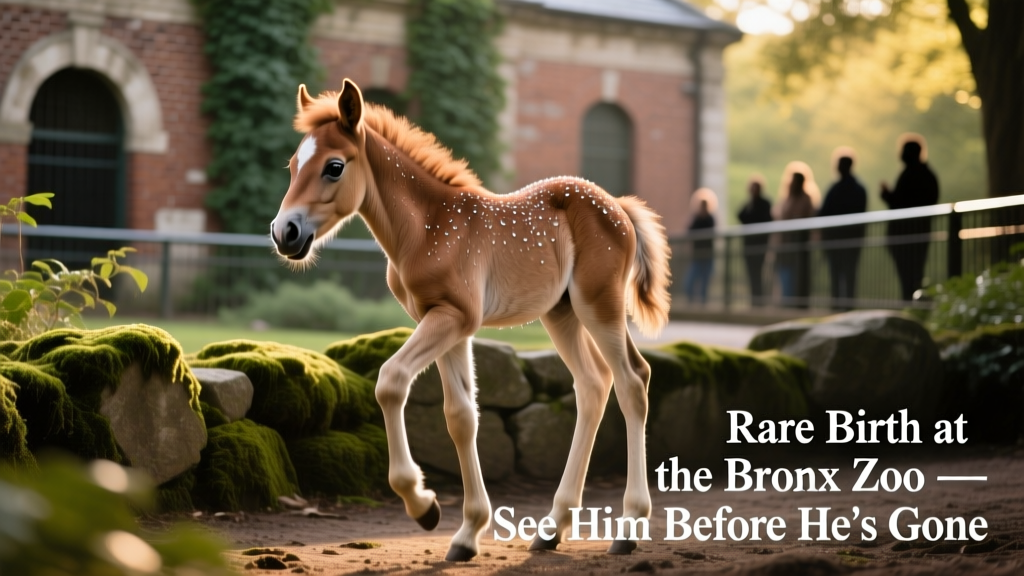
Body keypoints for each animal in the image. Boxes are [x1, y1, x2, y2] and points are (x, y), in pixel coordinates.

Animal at [271, 78, 671, 562]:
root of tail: (620, 207)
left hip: (599, 305)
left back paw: (628, 529)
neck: (425, 228)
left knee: (632, 381)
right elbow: (461, 415)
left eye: (333, 167)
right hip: (562, 313)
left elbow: (391, 381)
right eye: (293, 165)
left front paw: (423, 506)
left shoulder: (452, 317)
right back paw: (551, 528)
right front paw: (466, 533)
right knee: (594, 385)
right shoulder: (447, 324)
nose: (284, 232)